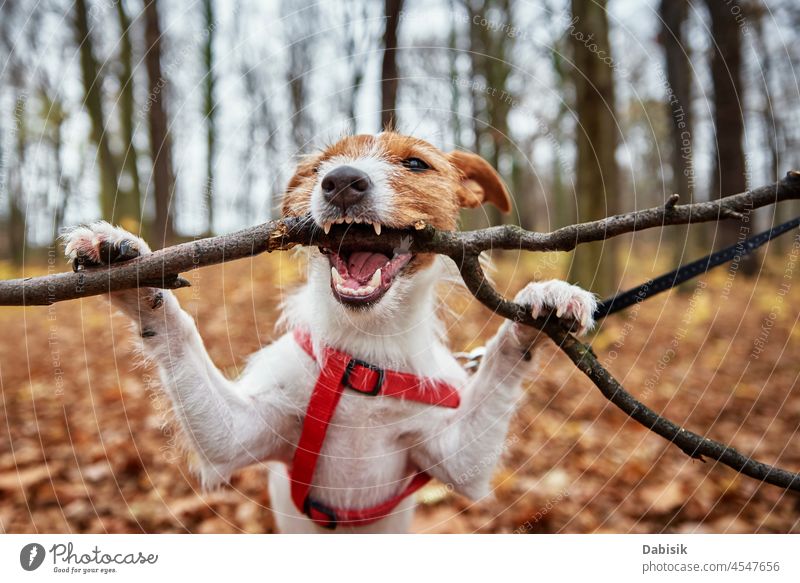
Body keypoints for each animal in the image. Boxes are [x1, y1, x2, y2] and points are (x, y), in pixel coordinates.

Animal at [65, 132, 596, 532]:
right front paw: (131, 272)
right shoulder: (239, 433)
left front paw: (542, 304)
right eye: (323, 165)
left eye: (416, 163)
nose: (340, 181)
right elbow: (179, 333)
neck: (364, 353)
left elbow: (502, 365)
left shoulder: (458, 458)